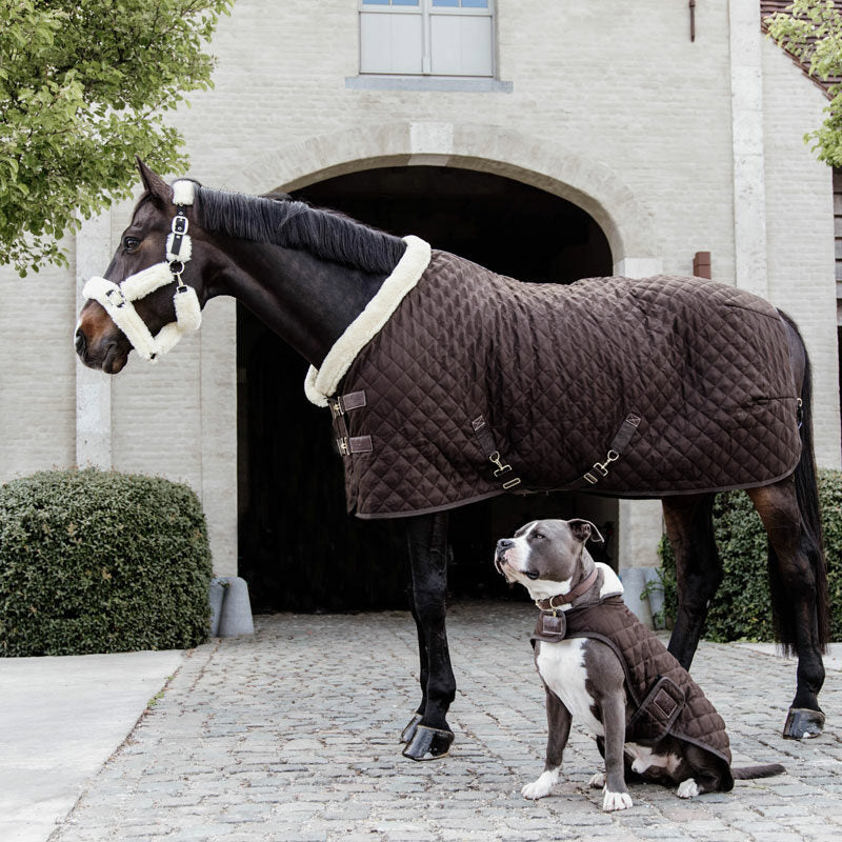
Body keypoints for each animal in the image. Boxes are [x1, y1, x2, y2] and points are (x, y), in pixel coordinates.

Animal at [74, 162, 828, 756]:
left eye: (132, 240)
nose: (86, 338)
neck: (370, 318)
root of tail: (779, 317)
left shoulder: (427, 483)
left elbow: (428, 594)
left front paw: (431, 722)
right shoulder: (415, 482)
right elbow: (421, 596)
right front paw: (428, 712)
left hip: (766, 483)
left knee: (798, 563)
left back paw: (805, 707)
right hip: (687, 480)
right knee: (699, 575)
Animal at [492, 516, 780, 812]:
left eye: (539, 536)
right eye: (517, 534)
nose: (502, 543)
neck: (562, 609)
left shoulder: (611, 696)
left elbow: (614, 753)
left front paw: (617, 794)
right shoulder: (555, 698)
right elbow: (554, 746)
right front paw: (543, 785)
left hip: (694, 743)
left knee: (719, 779)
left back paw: (690, 784)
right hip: (604, 737)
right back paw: (605, 778)